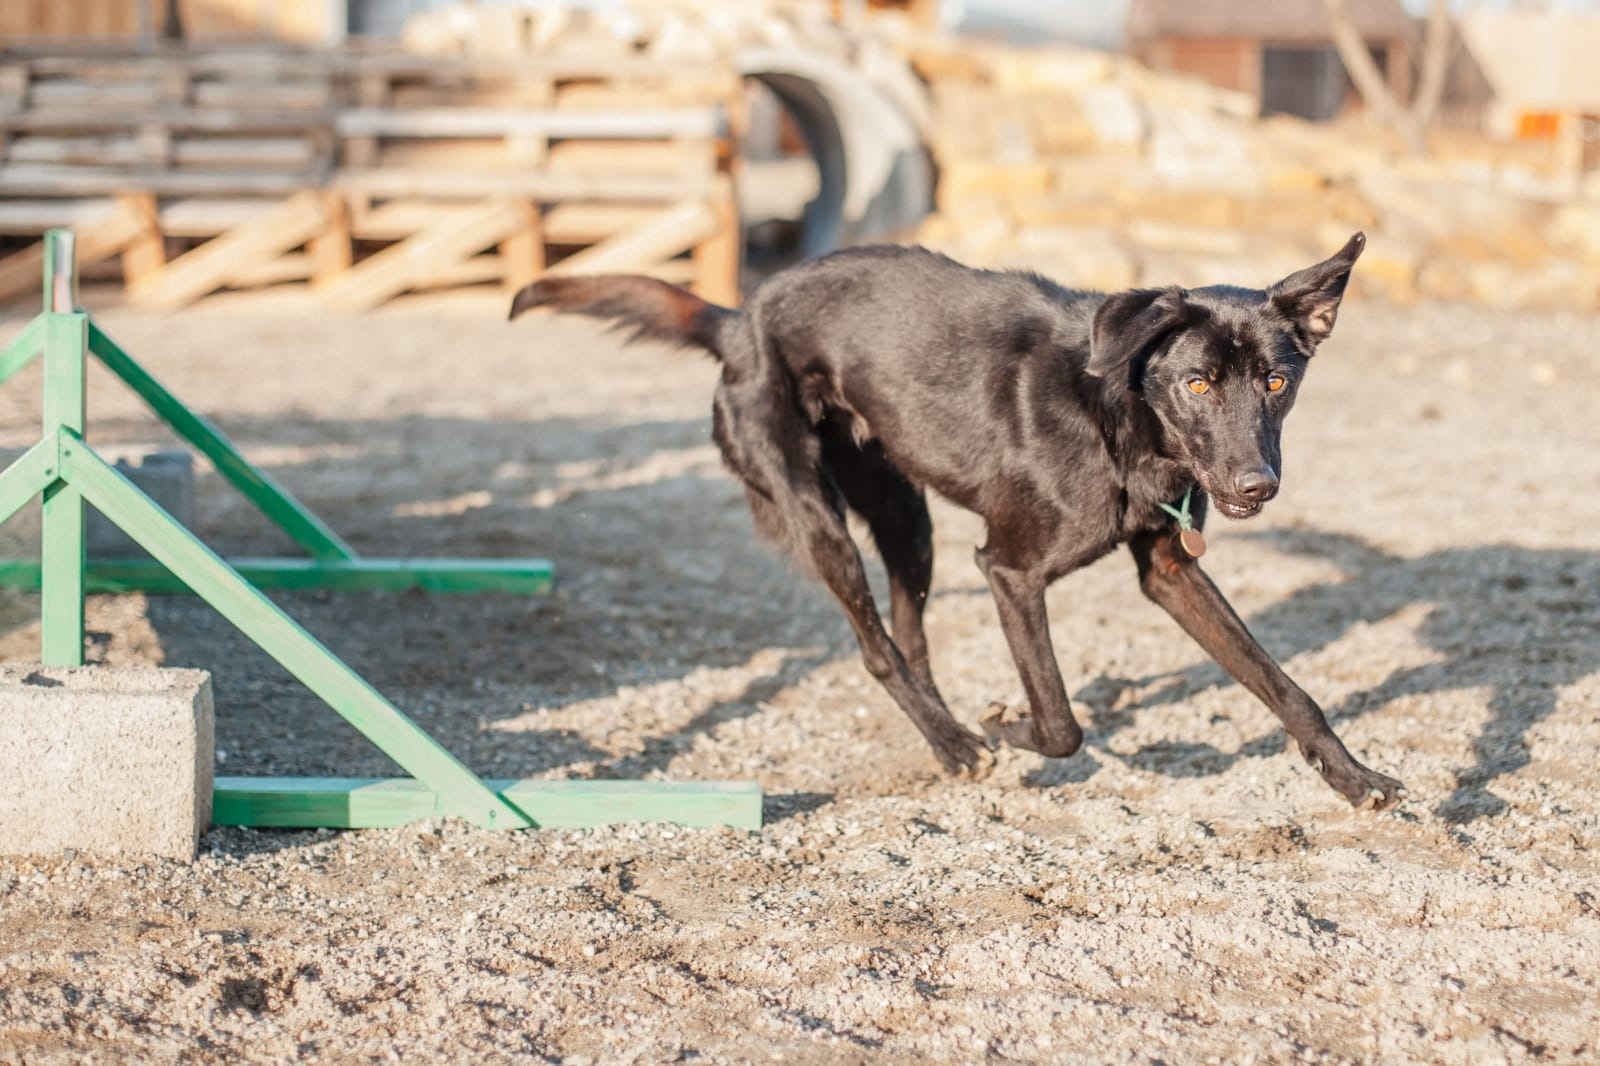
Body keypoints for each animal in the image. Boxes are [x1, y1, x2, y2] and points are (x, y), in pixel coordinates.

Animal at [508, 235, 1401, 806]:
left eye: (1277, 382)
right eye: (1199, 383)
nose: (1257, 486)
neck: (1120, 420)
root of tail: (739, 320)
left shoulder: (1170, 571)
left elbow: (1284, 686)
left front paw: (1353, 777)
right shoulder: (1008, 571)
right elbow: (1061, 721)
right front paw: (1007, 726)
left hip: (908, 523)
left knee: (910, 637)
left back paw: (943, 733)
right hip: (816, 515)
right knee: (876, 646)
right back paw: (957, 743)